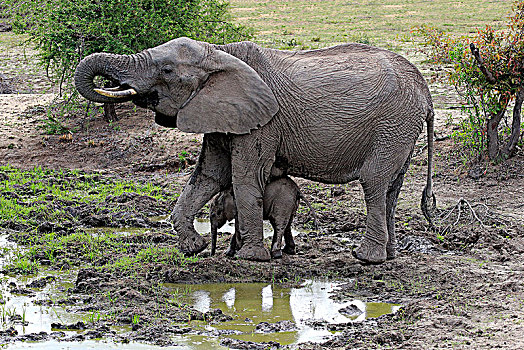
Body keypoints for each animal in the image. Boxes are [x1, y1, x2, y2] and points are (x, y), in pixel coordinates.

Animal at [73, 37, 434, 264]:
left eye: (167, 71)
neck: (219, 52)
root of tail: (426, 92)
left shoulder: (263, 122)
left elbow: (244, 177)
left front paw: (250, 258)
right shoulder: (222, 113)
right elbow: (209, 175)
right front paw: (193, 248)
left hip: (393, 123)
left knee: (374, 184)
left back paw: (366, 258)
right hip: (400, 129)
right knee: (391, 188)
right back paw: (389, 256)